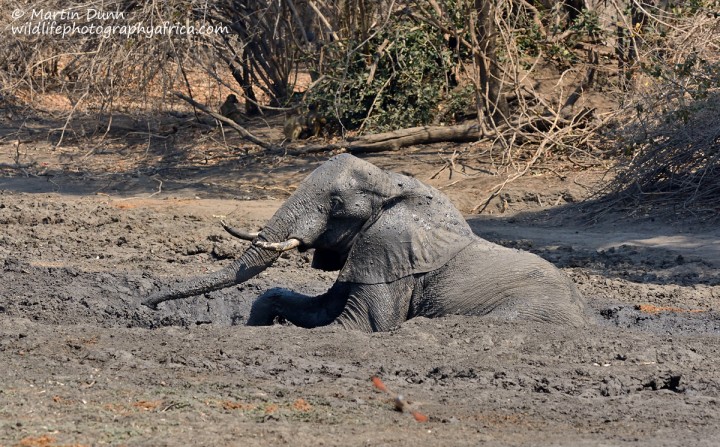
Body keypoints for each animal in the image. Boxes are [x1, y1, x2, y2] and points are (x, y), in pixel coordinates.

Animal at [143, 154, 588, 332]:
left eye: (336, 204)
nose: (147, 304)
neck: (396, 183)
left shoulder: (393, 260)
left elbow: (357, 325)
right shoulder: (371, 253)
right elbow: (319, 308)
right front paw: (255, 326)